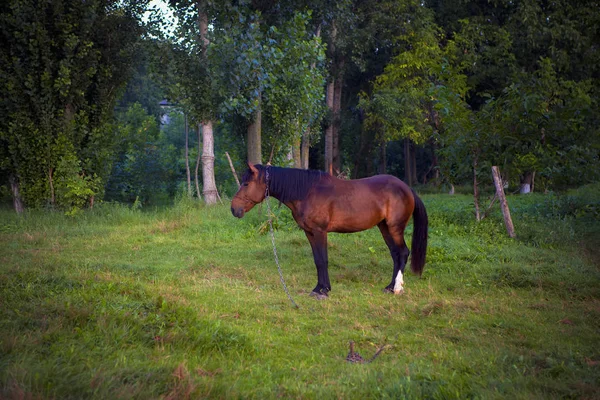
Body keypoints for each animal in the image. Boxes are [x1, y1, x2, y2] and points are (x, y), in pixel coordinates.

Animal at [230, 164, 426, 298]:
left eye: (246, 183)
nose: (234, 209)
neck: (307, 192)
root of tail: (406, 188)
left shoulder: (320, 232)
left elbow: (323, 260)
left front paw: (324, 291)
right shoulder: (309, 232)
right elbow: (318, 260)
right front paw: (318, 289)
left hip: (395, 228)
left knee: (403, 252)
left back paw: (397, 288)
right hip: (384, 227)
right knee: (395, 254)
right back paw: (389, 287)